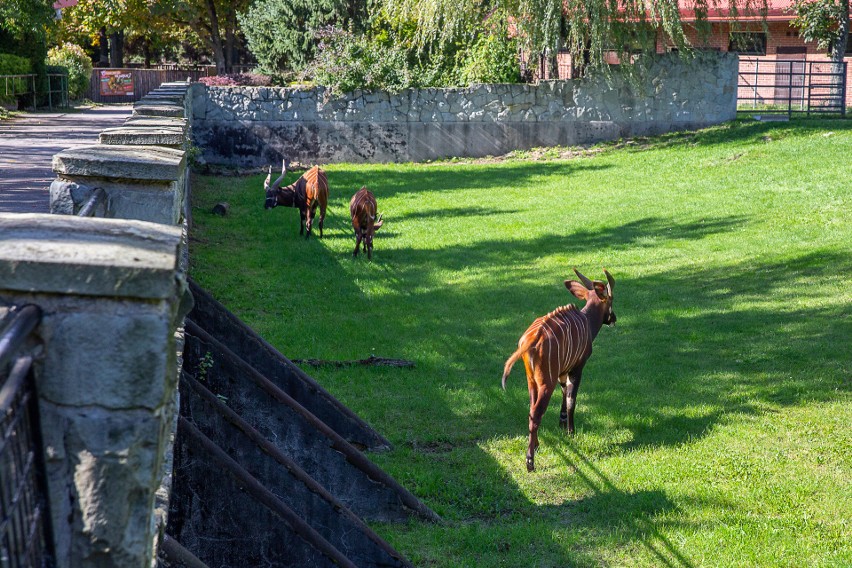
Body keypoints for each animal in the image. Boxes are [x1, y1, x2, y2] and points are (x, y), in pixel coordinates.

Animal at [502, 268, 616, 472]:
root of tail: (529, 341)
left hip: (532, 381)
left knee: (531, 410)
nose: (614, 319)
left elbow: (563, 394)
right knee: (536, 413)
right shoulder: (577, 368)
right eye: (611, 301)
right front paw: (571, 431)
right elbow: (571, 399)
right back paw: (530, 462)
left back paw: (536, 445)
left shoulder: (563, 371)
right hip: (546, 382)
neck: (587, 321)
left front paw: (562, 424)